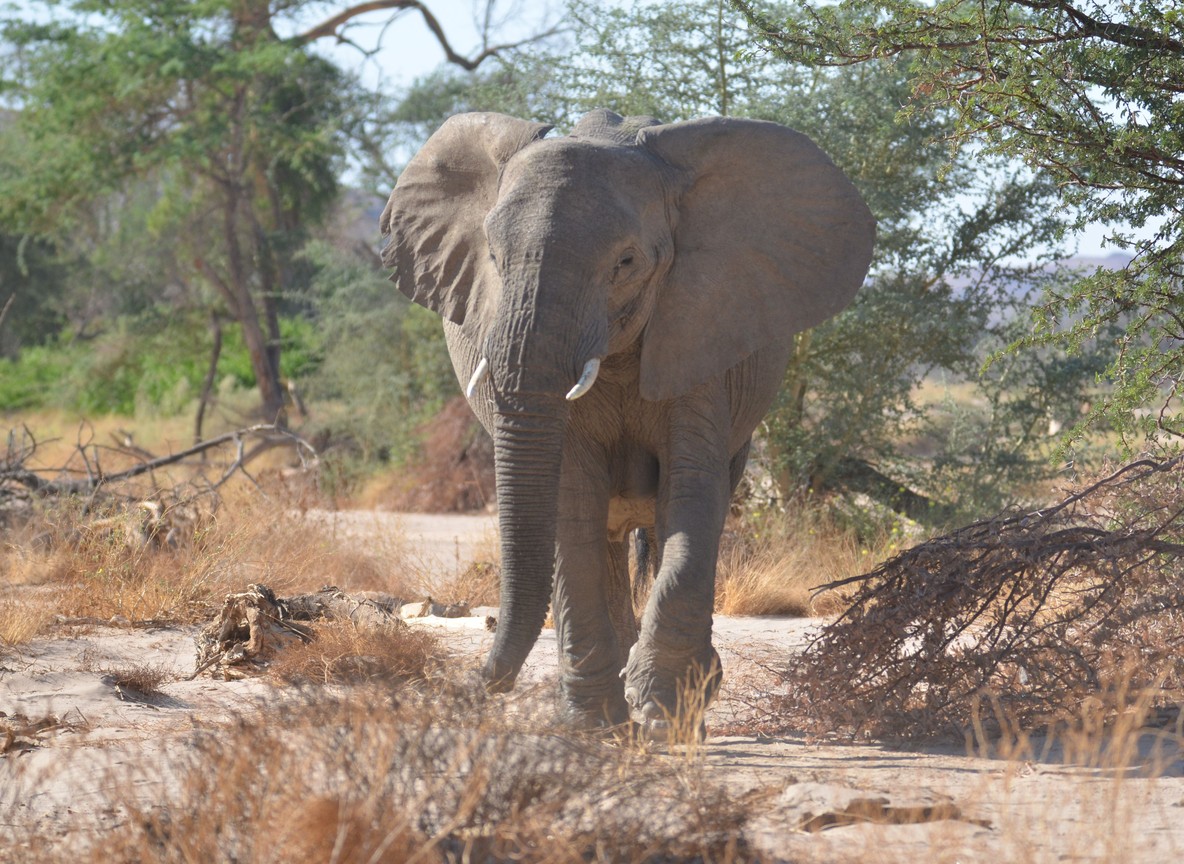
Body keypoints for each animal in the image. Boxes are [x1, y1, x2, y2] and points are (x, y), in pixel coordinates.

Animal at [380, 108, 875, 737]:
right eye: (491, 256)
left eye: (626, 263)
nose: (469, 689)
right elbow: (571, 506)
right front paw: (596, 727)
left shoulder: (700, 334)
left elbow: (691, 498)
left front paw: (663, 714)